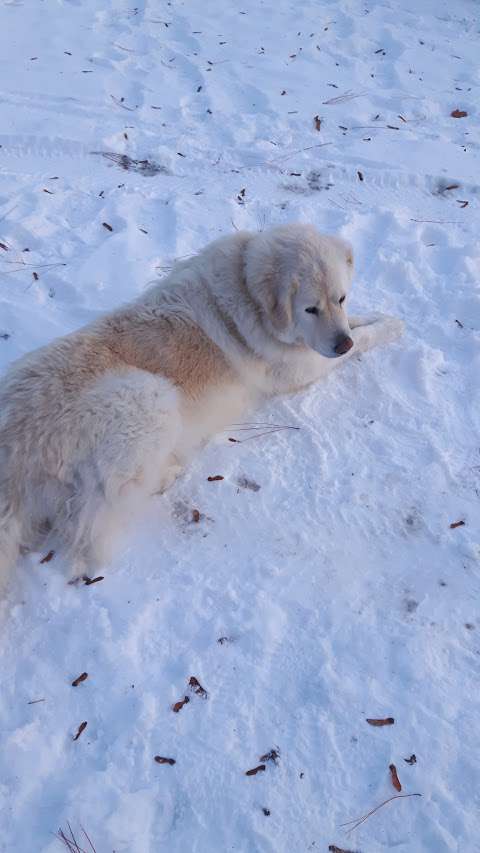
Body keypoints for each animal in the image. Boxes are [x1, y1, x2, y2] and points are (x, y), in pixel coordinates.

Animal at [0, 221, 404, 580]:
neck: (246, 289)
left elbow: (359, 323)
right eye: (310, 309)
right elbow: (363, 340)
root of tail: (13, 454)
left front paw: (378, 316)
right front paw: (389, 328)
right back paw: (166, 474)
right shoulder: (303, 366)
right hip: (150, 398)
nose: (341, 344)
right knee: (91, 519)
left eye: (341, 298)